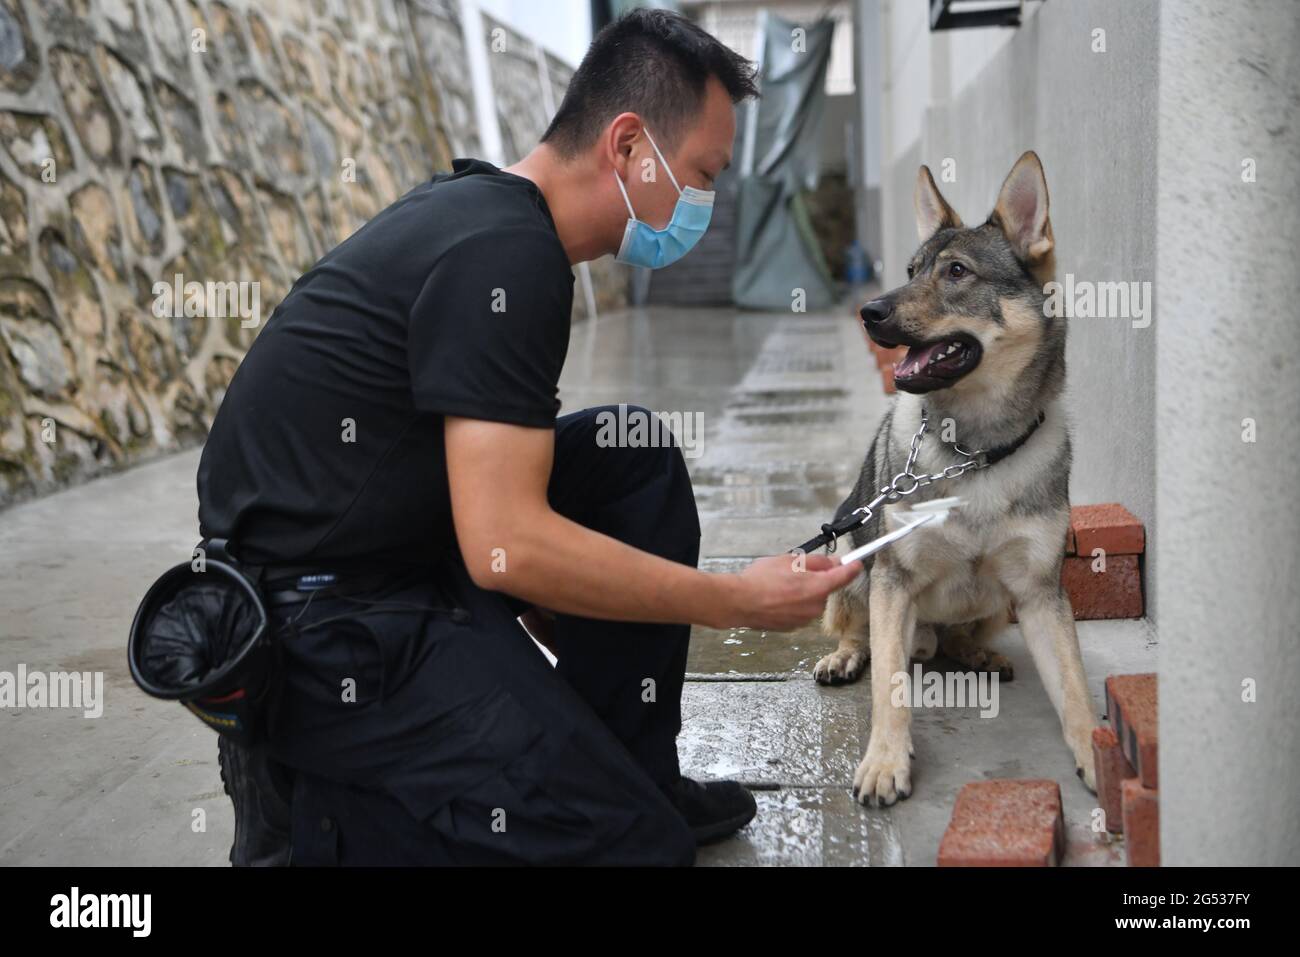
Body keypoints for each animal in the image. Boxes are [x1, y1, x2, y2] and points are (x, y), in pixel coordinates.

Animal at [811, 151, 1097, 806]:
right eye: (911, 270)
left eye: (957, 272)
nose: (869, 312)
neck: (976, 450)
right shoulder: (892, 580)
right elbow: (889, 689)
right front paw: (885, 762)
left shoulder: (1041, 593)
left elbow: (1074, 689)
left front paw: (1101, 754)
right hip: (848, 559)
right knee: (861, 635)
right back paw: (846, 658)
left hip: (1001, 602)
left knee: (960, 635)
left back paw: (975, 651)